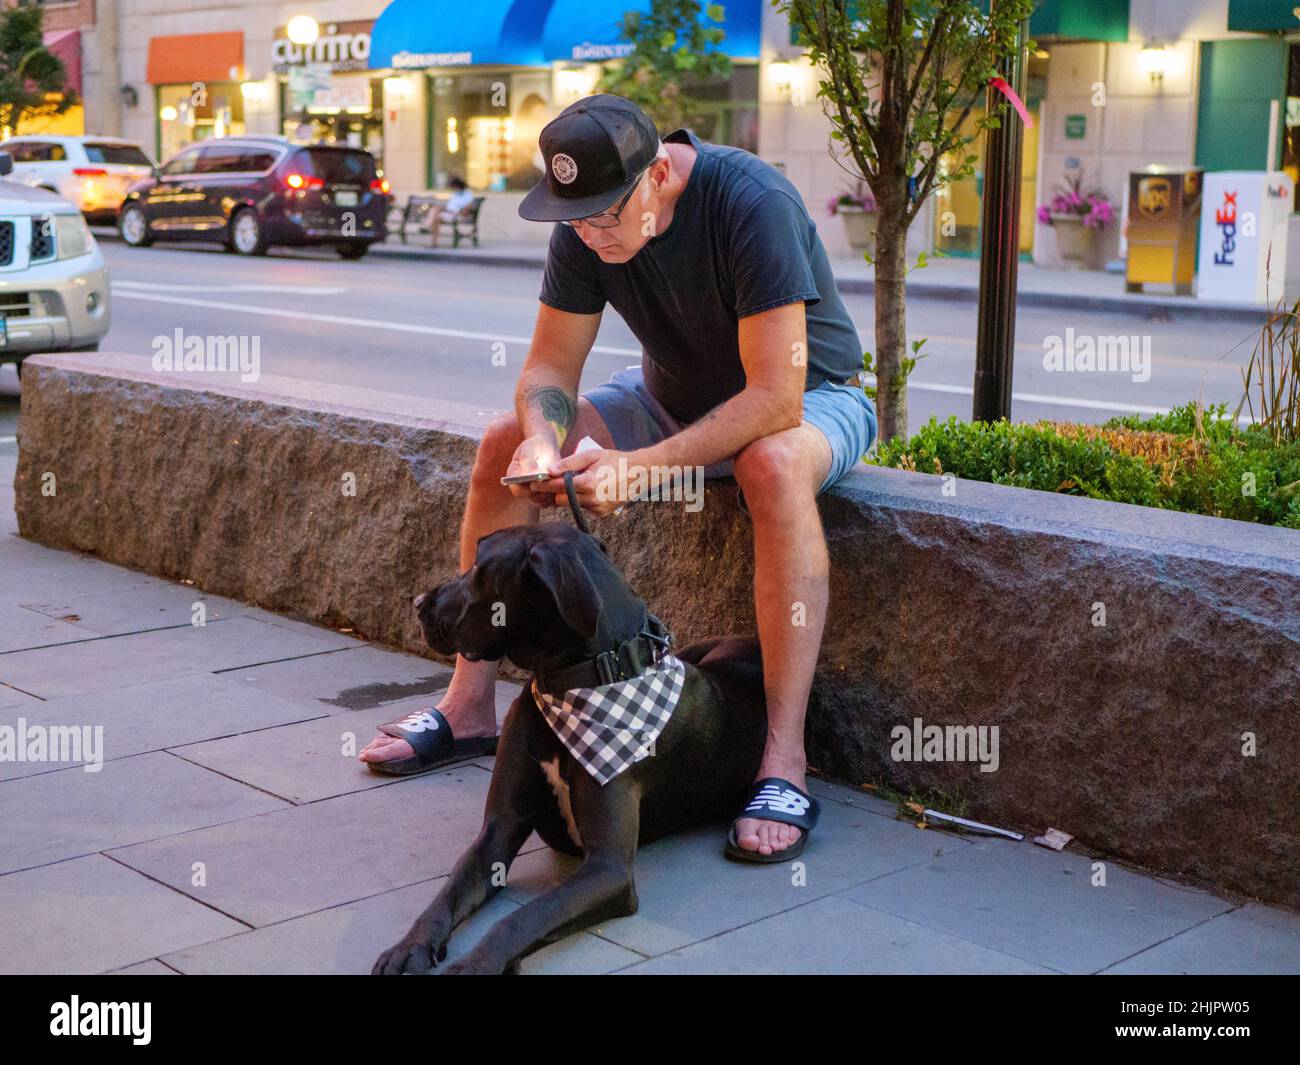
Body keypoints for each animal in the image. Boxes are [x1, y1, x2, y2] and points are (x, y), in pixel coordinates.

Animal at [371, 520, 764, 977]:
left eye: (479, 569)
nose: (417, 602)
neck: (569, 683)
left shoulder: (607, 869)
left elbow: (526, 915)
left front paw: (477, 964)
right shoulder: (498, 832)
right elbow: (446, 894)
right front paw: (408, 947)